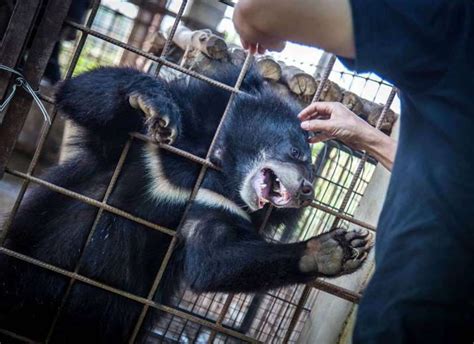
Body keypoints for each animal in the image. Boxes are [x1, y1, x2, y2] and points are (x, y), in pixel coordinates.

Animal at [0, 63, 370, 342]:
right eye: (297, 152)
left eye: (310, 167)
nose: (308, 191)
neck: (219, 167)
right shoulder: (149, 148)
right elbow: (79, 91)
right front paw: (154, 102)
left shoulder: (217, 204)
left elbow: (212, 257)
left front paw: (335, 250)